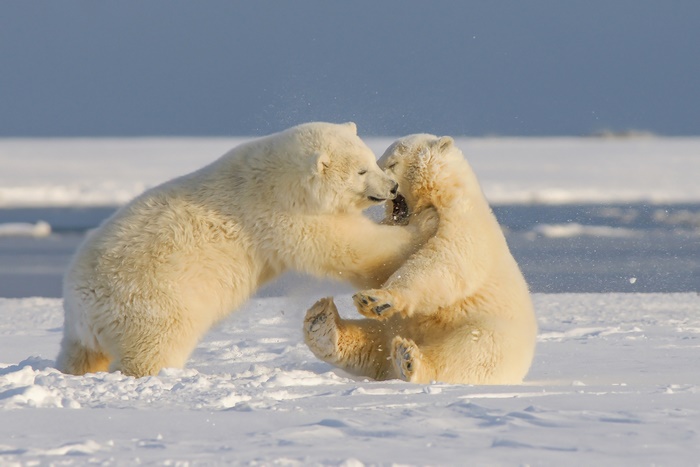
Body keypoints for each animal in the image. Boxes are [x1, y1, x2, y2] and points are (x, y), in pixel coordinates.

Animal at [57, 122, 437, 378]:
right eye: (360, 170)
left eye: (373, 160)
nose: (392, 187)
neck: (277, 178)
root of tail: (81, 303)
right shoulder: (280, 214)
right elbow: (349, 246)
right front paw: (427, 222)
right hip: (153, 303)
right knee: (154, 348)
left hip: (87, 329)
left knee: (80, 354)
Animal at [303, 134, 537, 385]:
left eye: (391, 163)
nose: (387, 187)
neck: (443, 195)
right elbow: (381, 260)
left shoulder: (464, 222)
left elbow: (443, 262)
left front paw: (377, 299)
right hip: (393, 327)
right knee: (372, 341)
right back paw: (322, 324)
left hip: (486, 330)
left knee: (470, 352)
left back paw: (408, 360)